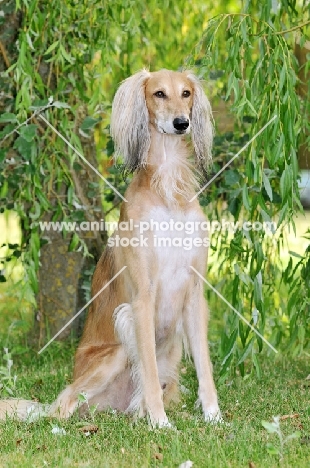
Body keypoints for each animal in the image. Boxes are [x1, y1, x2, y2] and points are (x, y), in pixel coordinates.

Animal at [1, 70, 222, 428]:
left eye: (186, 93)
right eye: (159, 93)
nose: (181, 123)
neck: (168, 192)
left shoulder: (194, 294)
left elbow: (205, 366)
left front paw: (214, 417)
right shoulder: (143, 298)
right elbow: (148, 370)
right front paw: (161, 424)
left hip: (171, 347)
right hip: (115, 350)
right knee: (60, 409)